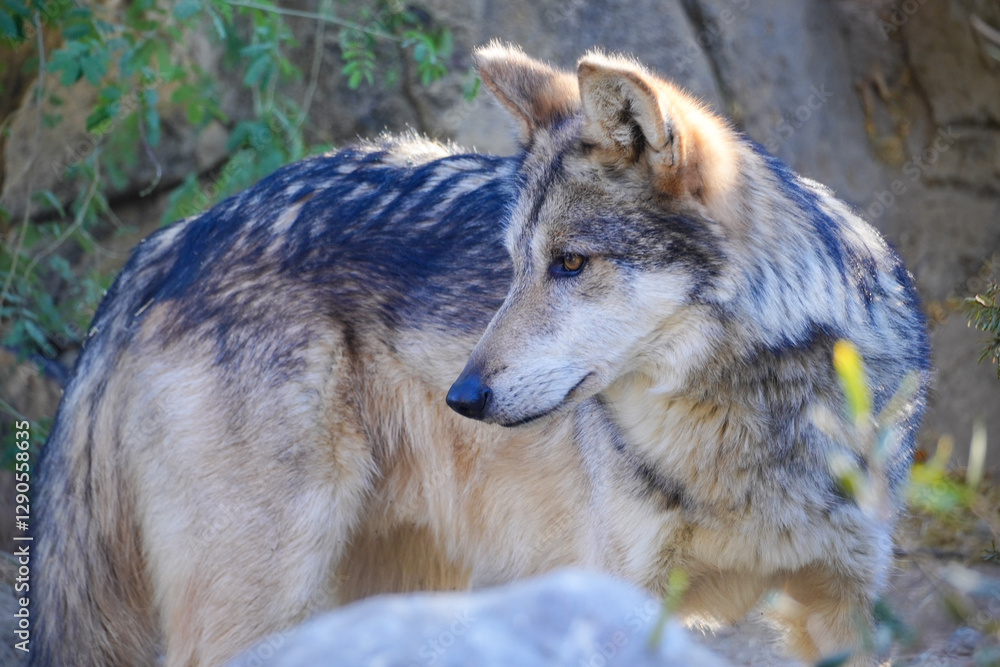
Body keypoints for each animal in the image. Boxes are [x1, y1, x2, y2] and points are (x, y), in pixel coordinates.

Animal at [31, 44, 929, 666]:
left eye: (570, 263)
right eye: (514, 264)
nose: (460, 396)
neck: (745, 425)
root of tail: (176, 237)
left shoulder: (846, 607)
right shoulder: (620, 599)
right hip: (266, 600)